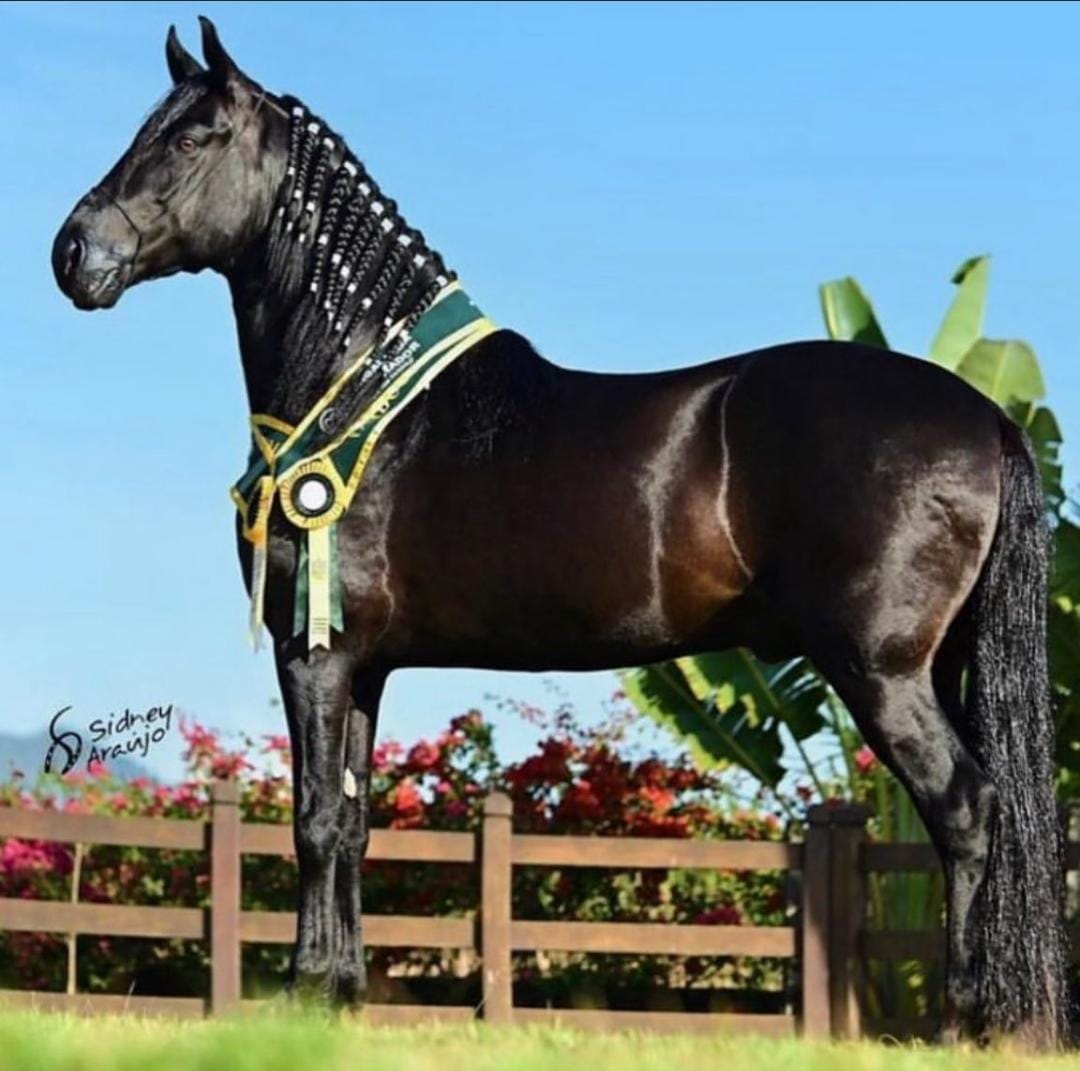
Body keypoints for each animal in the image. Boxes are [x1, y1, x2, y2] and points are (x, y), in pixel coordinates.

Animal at [48, 20, 1062, 1049]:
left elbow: (313, 821)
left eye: (191, 137)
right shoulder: (364, 663)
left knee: (967, 810)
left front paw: (301, 994)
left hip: (883, 673)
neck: (366, 396)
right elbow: (356, 820)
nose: (72, 252)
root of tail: (987, 418)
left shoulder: (314, 655)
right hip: (936, 668)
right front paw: (341, 991)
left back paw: (959, 1020)